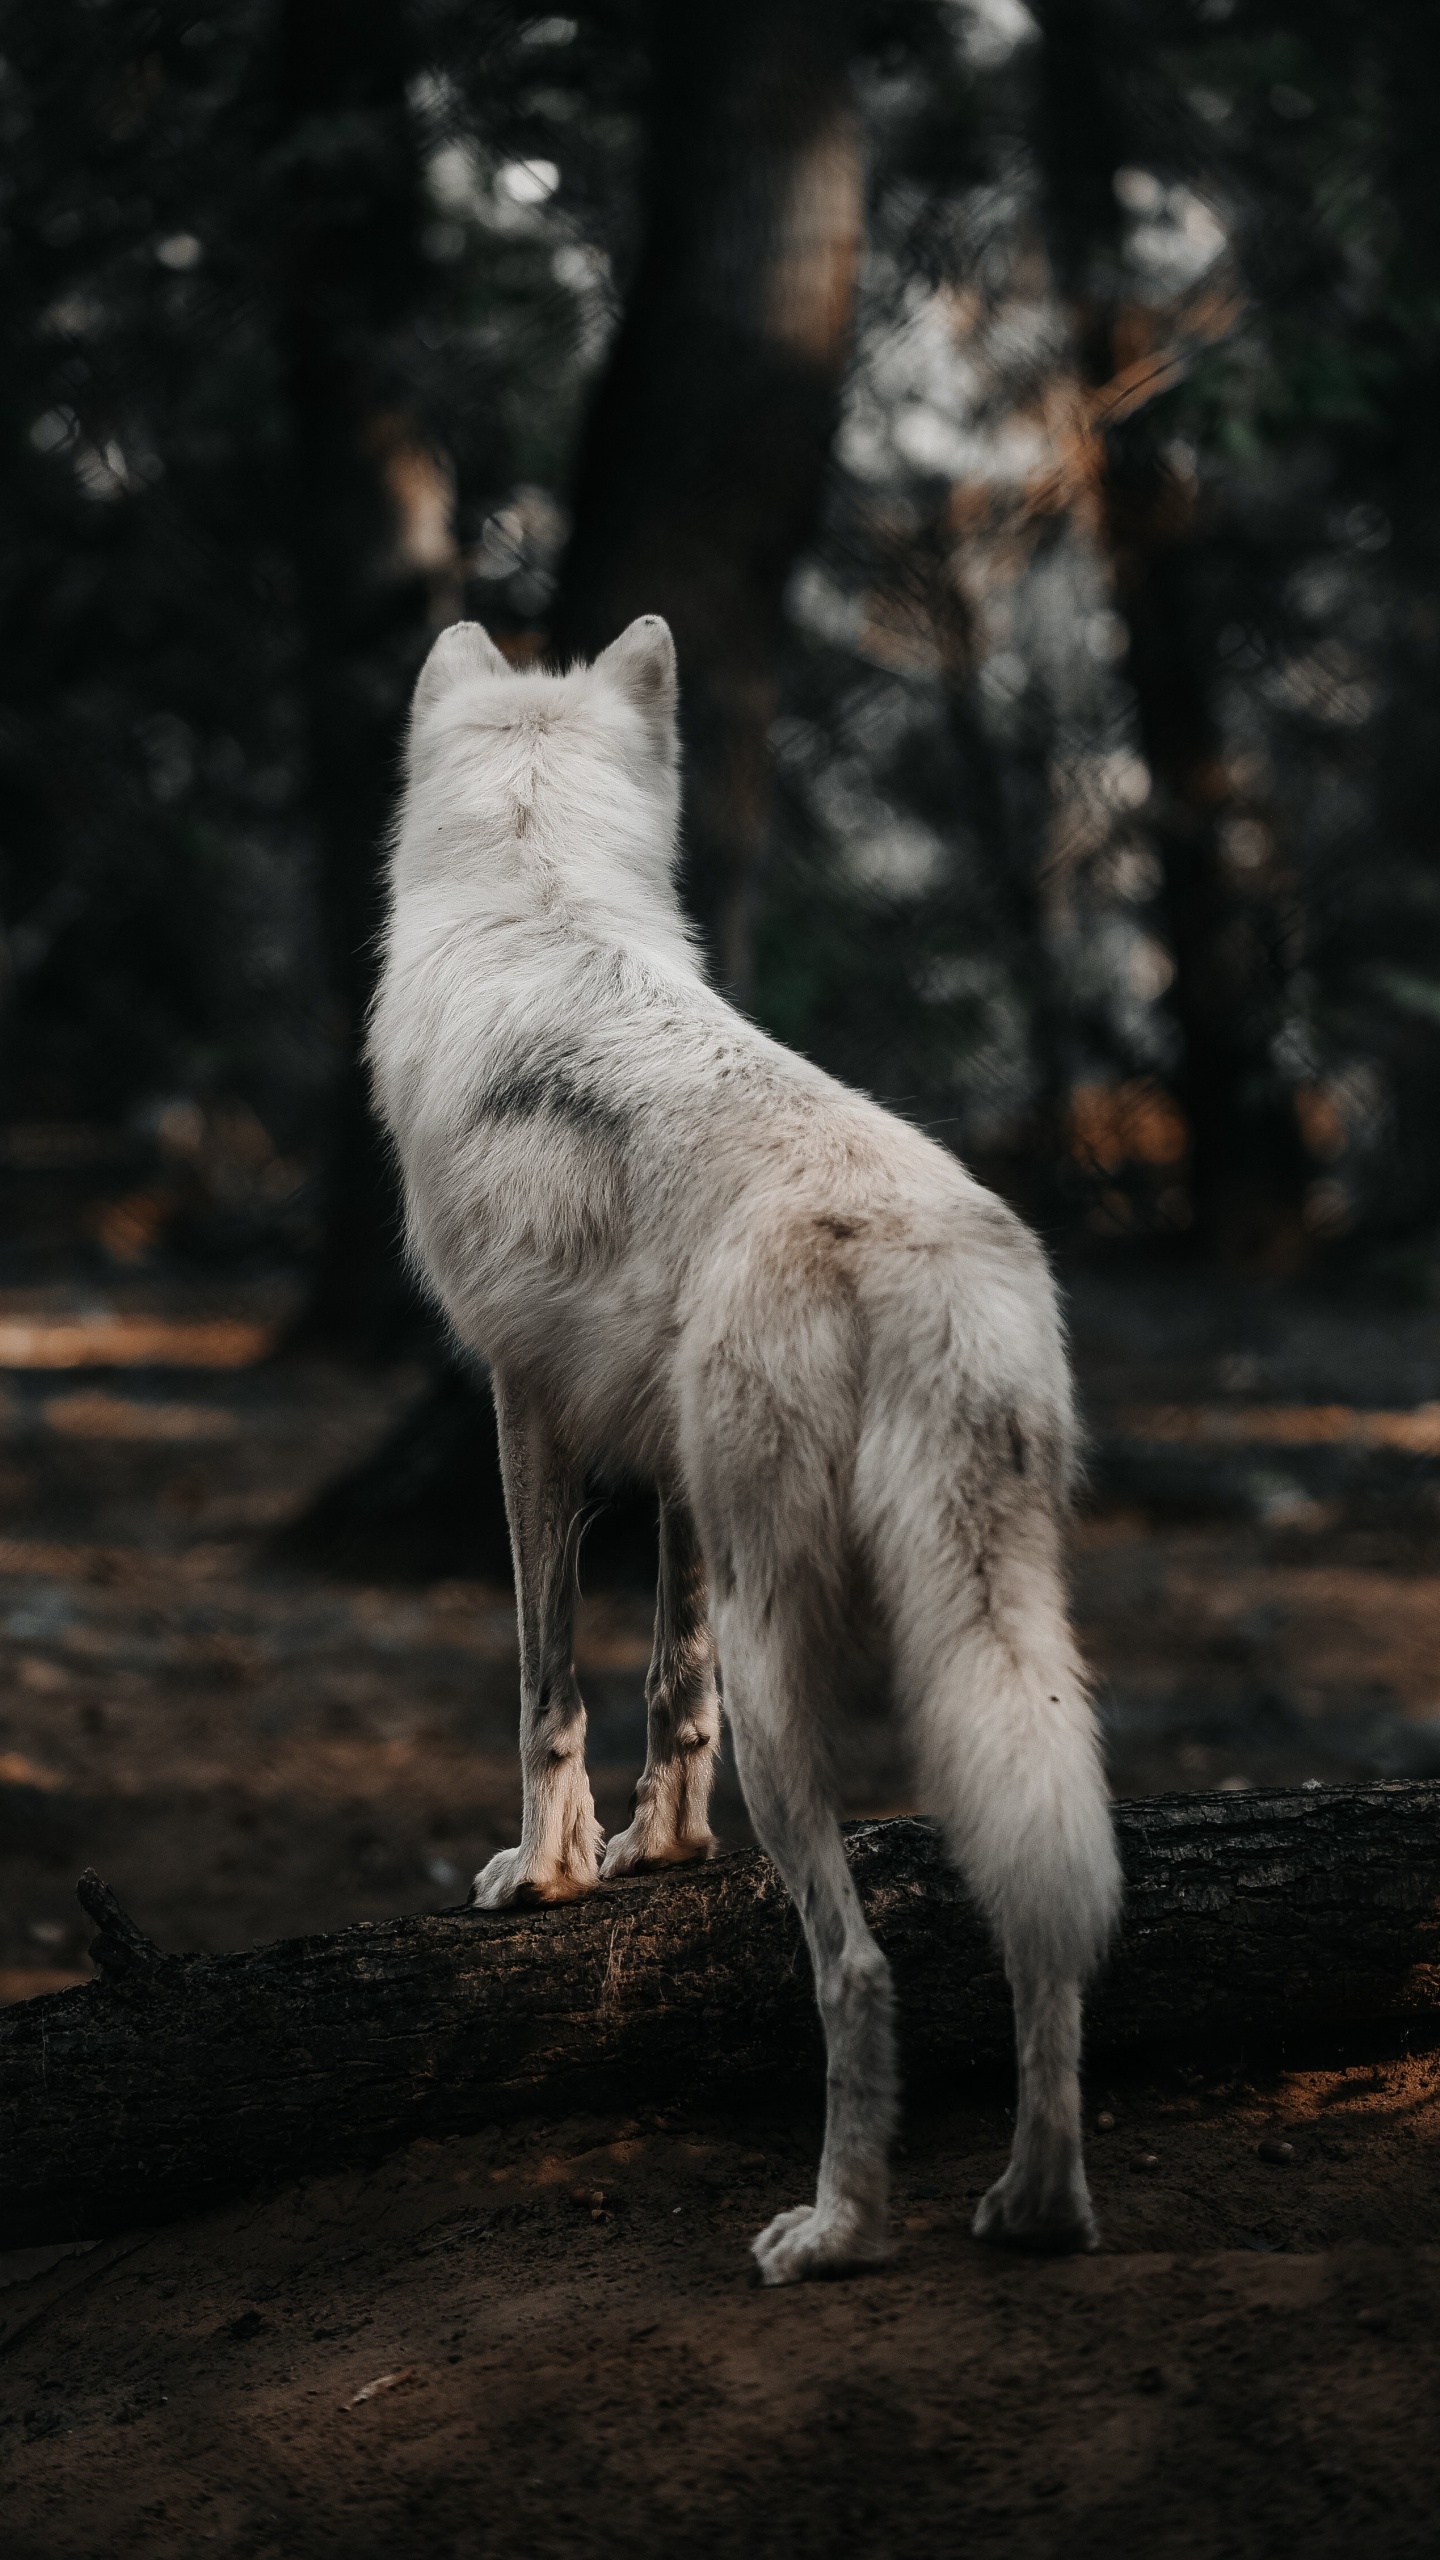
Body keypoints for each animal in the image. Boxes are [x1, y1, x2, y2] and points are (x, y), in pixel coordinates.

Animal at [368, 613, 1122, 2285]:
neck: (538, 893)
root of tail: (911, 1243)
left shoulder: (526, 1411)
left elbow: (548, 1690)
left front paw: (549, 1874)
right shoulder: (677, 1480)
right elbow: (669, 1682)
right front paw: (659, 1853)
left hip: (807, 1688)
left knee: (858, 1970)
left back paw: (838, 2230)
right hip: (1010, 1648)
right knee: (1048, 1907)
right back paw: (1037, 2206)